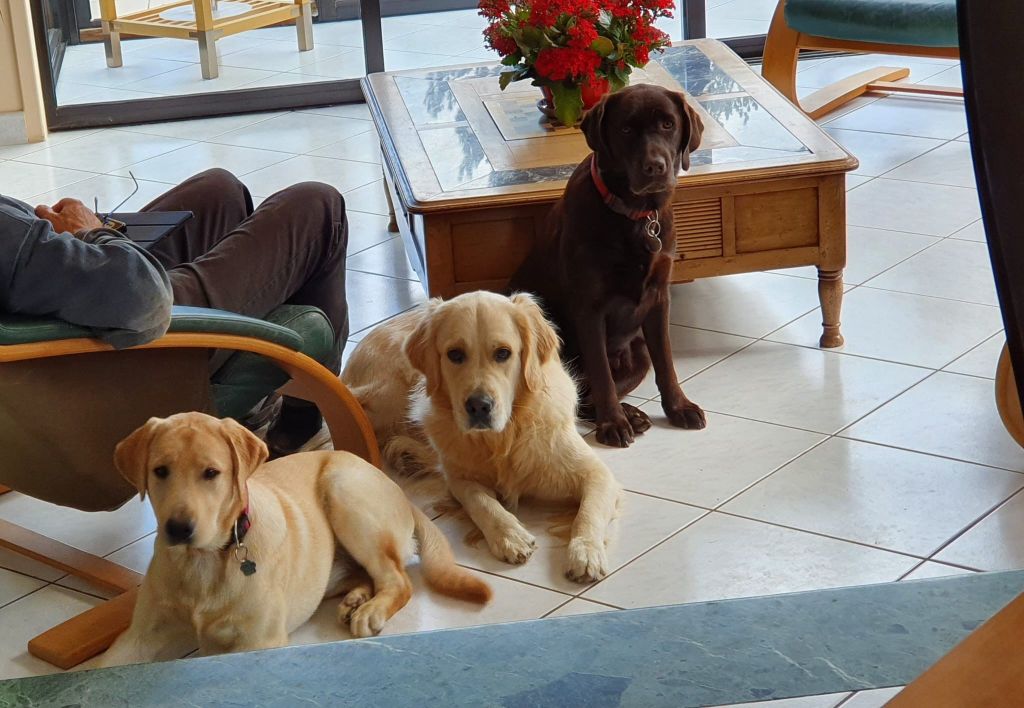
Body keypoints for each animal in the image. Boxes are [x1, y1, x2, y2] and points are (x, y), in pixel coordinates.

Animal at [97, 411, 489, 668]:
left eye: (211, 473)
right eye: (160, 471)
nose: (178, 528)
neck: (203, 561)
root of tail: (398, 490)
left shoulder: (258, 641)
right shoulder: (138, 638)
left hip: (344, 491)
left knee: (397, 579)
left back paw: (370, 609)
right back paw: (356, 598)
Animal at [344, 290, 618, 586]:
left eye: (503, 353)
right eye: (455, 354)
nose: (478, 406)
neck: (503, 438)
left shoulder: (596, 474)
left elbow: (588, 513)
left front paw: (586, 553)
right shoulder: (460, 480)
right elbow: (480, 501)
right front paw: (509, 536)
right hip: (395, 393)